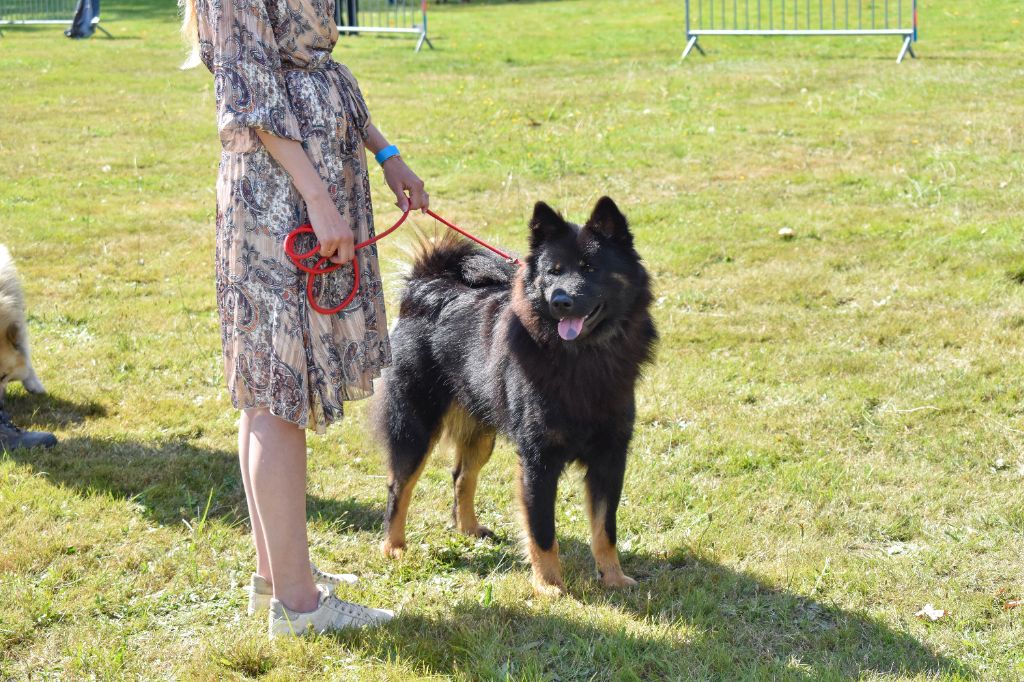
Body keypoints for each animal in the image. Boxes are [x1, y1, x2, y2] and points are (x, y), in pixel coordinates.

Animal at [376, 196, 655, 593]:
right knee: (398, 486)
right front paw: (549, 585)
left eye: (590, 268)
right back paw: (394, 547)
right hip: (416, 426)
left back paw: (468, 529)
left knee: (462, 476)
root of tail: (424, 286)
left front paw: (613, 577)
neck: (581, 357)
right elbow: (542, 530)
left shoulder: (610, 455)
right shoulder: (538, 459)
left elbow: (605, 527)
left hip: (481, 428)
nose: (560, 300)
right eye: (553, 271)